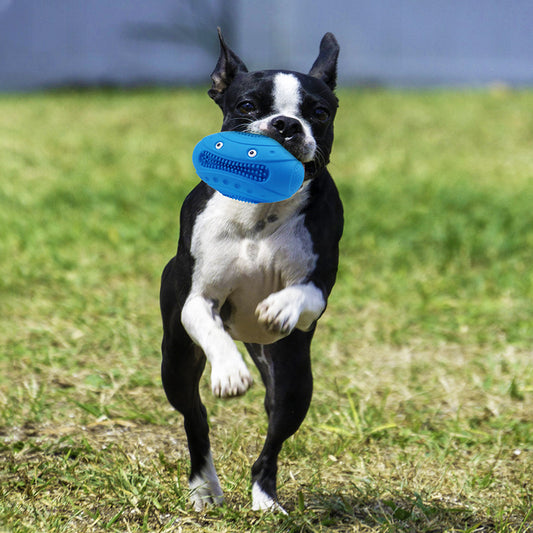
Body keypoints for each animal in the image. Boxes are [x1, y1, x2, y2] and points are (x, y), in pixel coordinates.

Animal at [159, 29, 340, 512]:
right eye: (246, 106)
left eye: (319, 112)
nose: (285, 124)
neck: (262, 209)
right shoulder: (197, 300)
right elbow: (209, 325)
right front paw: (229, 371)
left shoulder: (319, 285)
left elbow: (304, 294)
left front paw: (280, 308)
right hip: (175, 361)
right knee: (195, 417)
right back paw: (204, 487)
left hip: (294, 378)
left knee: (273, 439)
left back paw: (265, 498)